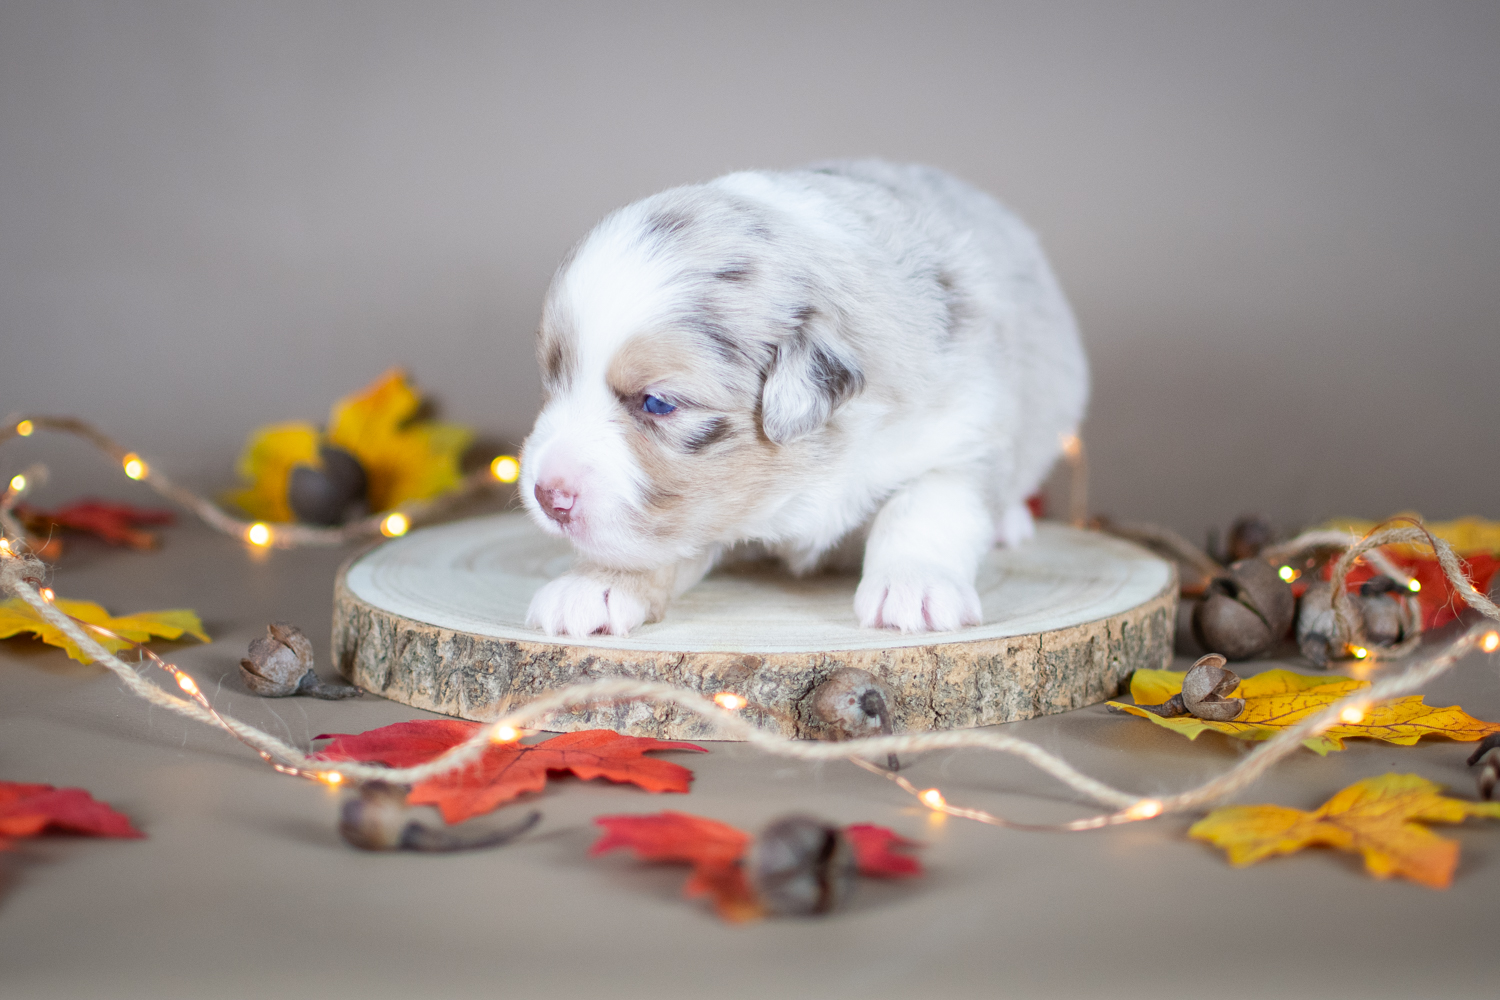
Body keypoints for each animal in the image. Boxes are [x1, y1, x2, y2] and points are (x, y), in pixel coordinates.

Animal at [522, 160, 1086, 638]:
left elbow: (925, 507)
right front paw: (594, 585)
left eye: (658, 403)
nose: (548, 496)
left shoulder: (964, 431)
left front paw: (914, 588)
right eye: (553, 379)